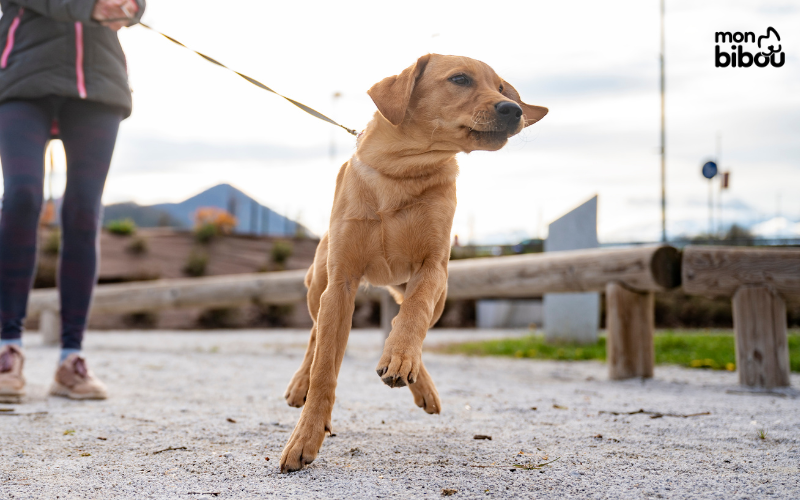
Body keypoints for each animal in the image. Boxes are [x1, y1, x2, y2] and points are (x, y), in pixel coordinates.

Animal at [278, 53, 548, 472]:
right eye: (460, 79)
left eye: (502, 88)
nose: (514, 109)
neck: (401, 172)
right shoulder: (341, 283)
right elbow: (325, 370)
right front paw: (305, 436)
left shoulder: (432, 268)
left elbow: (413, 316)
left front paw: (401, 357)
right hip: (317, 286)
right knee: (315, 334)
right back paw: (301, 384)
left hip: (439, 294)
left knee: (402, 318)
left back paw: (411, 374)